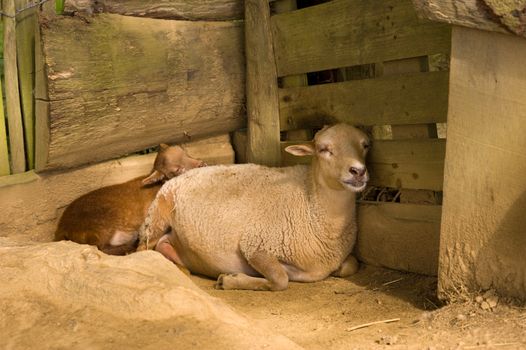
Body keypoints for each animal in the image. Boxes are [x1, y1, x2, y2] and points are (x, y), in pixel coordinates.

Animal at [54, 144, 207, 256]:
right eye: (177, 169)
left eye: (185, 152)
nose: (201, 163)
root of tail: (61, 230)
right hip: (101, 226)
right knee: (101, 248)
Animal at [137, 124, 372, 292]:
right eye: (324, 149)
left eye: (365, 145)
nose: (358, 171)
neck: (309, 201)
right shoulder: (255, 245)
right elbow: (280, 280)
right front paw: (230, 280)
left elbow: (351, 265)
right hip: (156, 217)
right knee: (142, 250)